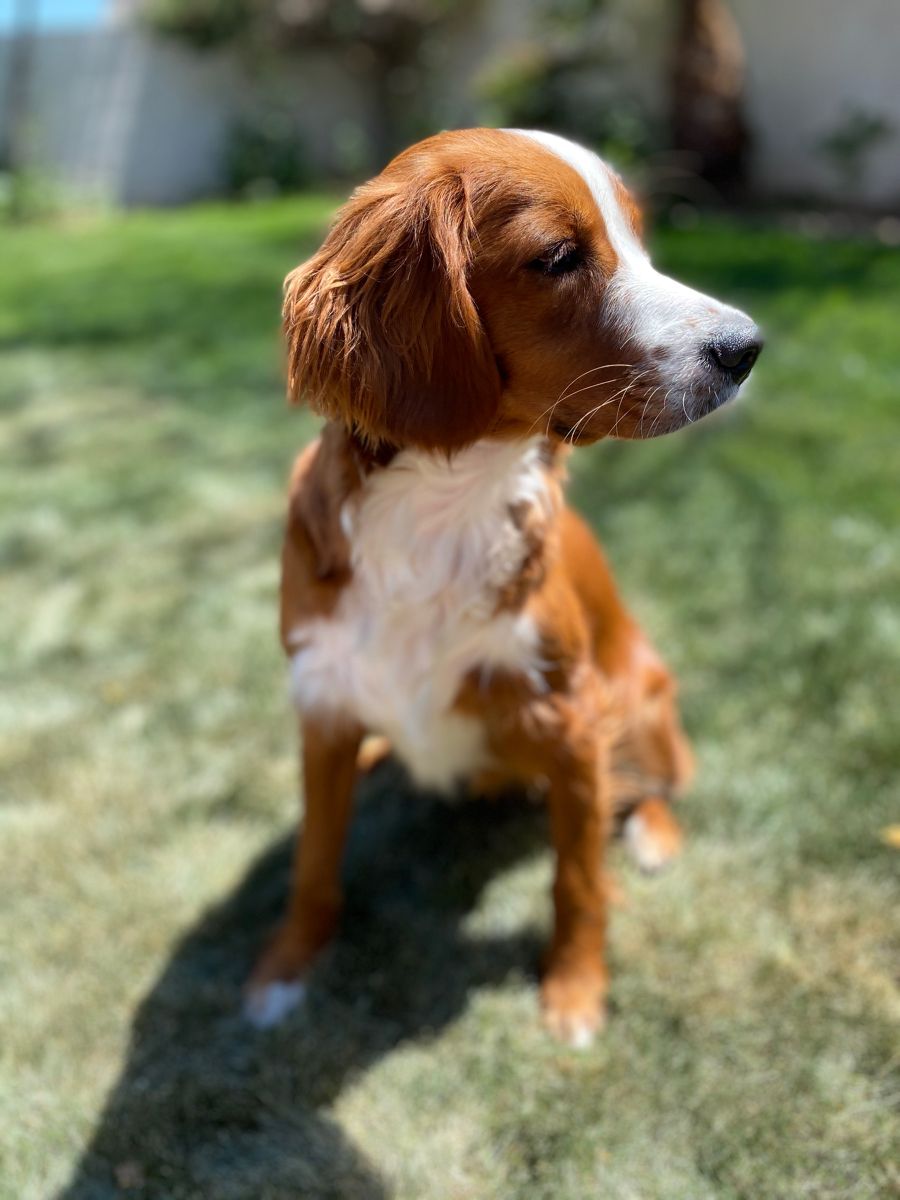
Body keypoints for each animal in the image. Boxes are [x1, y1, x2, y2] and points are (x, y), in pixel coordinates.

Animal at [244, 124, 763, 1041]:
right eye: (558, 257)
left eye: (639, 240)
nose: (746, 349)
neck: (443, 507)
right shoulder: (325, 703)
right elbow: (312, 861)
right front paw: (283, 969)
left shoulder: (572, 718)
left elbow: (578, 879)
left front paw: (575, 992)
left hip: (642, 693)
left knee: (660, 780)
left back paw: (655, 834)